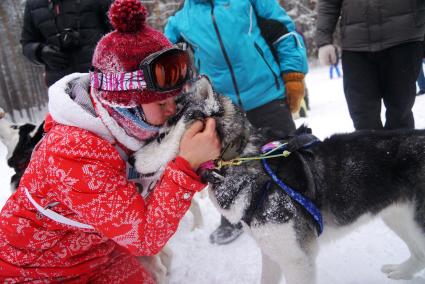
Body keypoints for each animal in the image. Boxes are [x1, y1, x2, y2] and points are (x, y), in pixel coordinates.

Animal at [134, 76, 424, 282]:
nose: (133, 159)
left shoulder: (298, 260)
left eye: (163, 134)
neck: (239, 160)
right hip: (398, 217)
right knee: (419, 254)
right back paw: (402, 272)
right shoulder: (272, 253)